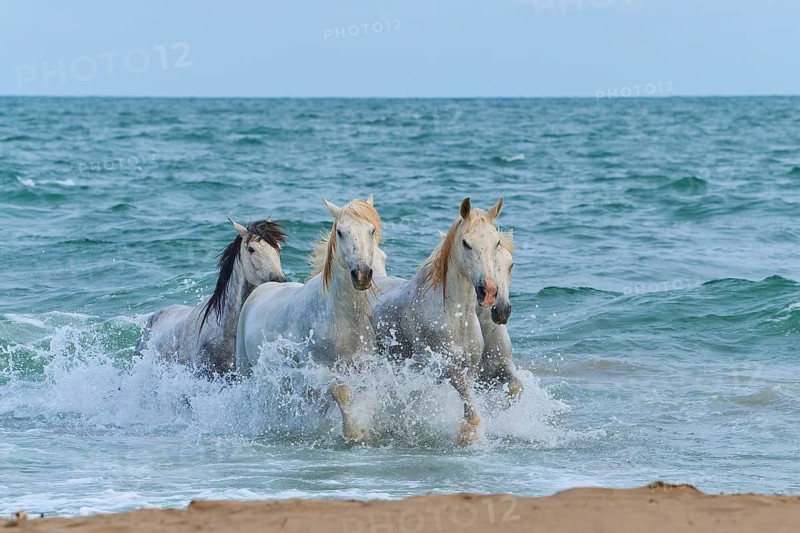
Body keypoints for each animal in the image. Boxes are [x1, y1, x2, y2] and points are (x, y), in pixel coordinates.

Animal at [236, 196, 381, 442]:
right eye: (340, 232)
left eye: (371, 230)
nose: (361, 275)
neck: (339, 320)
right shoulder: (315, 371)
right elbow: (340, 391)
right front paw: (352, 433)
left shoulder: (362, 368)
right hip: (247, 368)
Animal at [371, 197, 509, 445]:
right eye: (466, 243)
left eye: (497, 242)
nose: (489, 291)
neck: (455, 318)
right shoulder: (440, 368)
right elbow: (471, 412)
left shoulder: (469, 369)